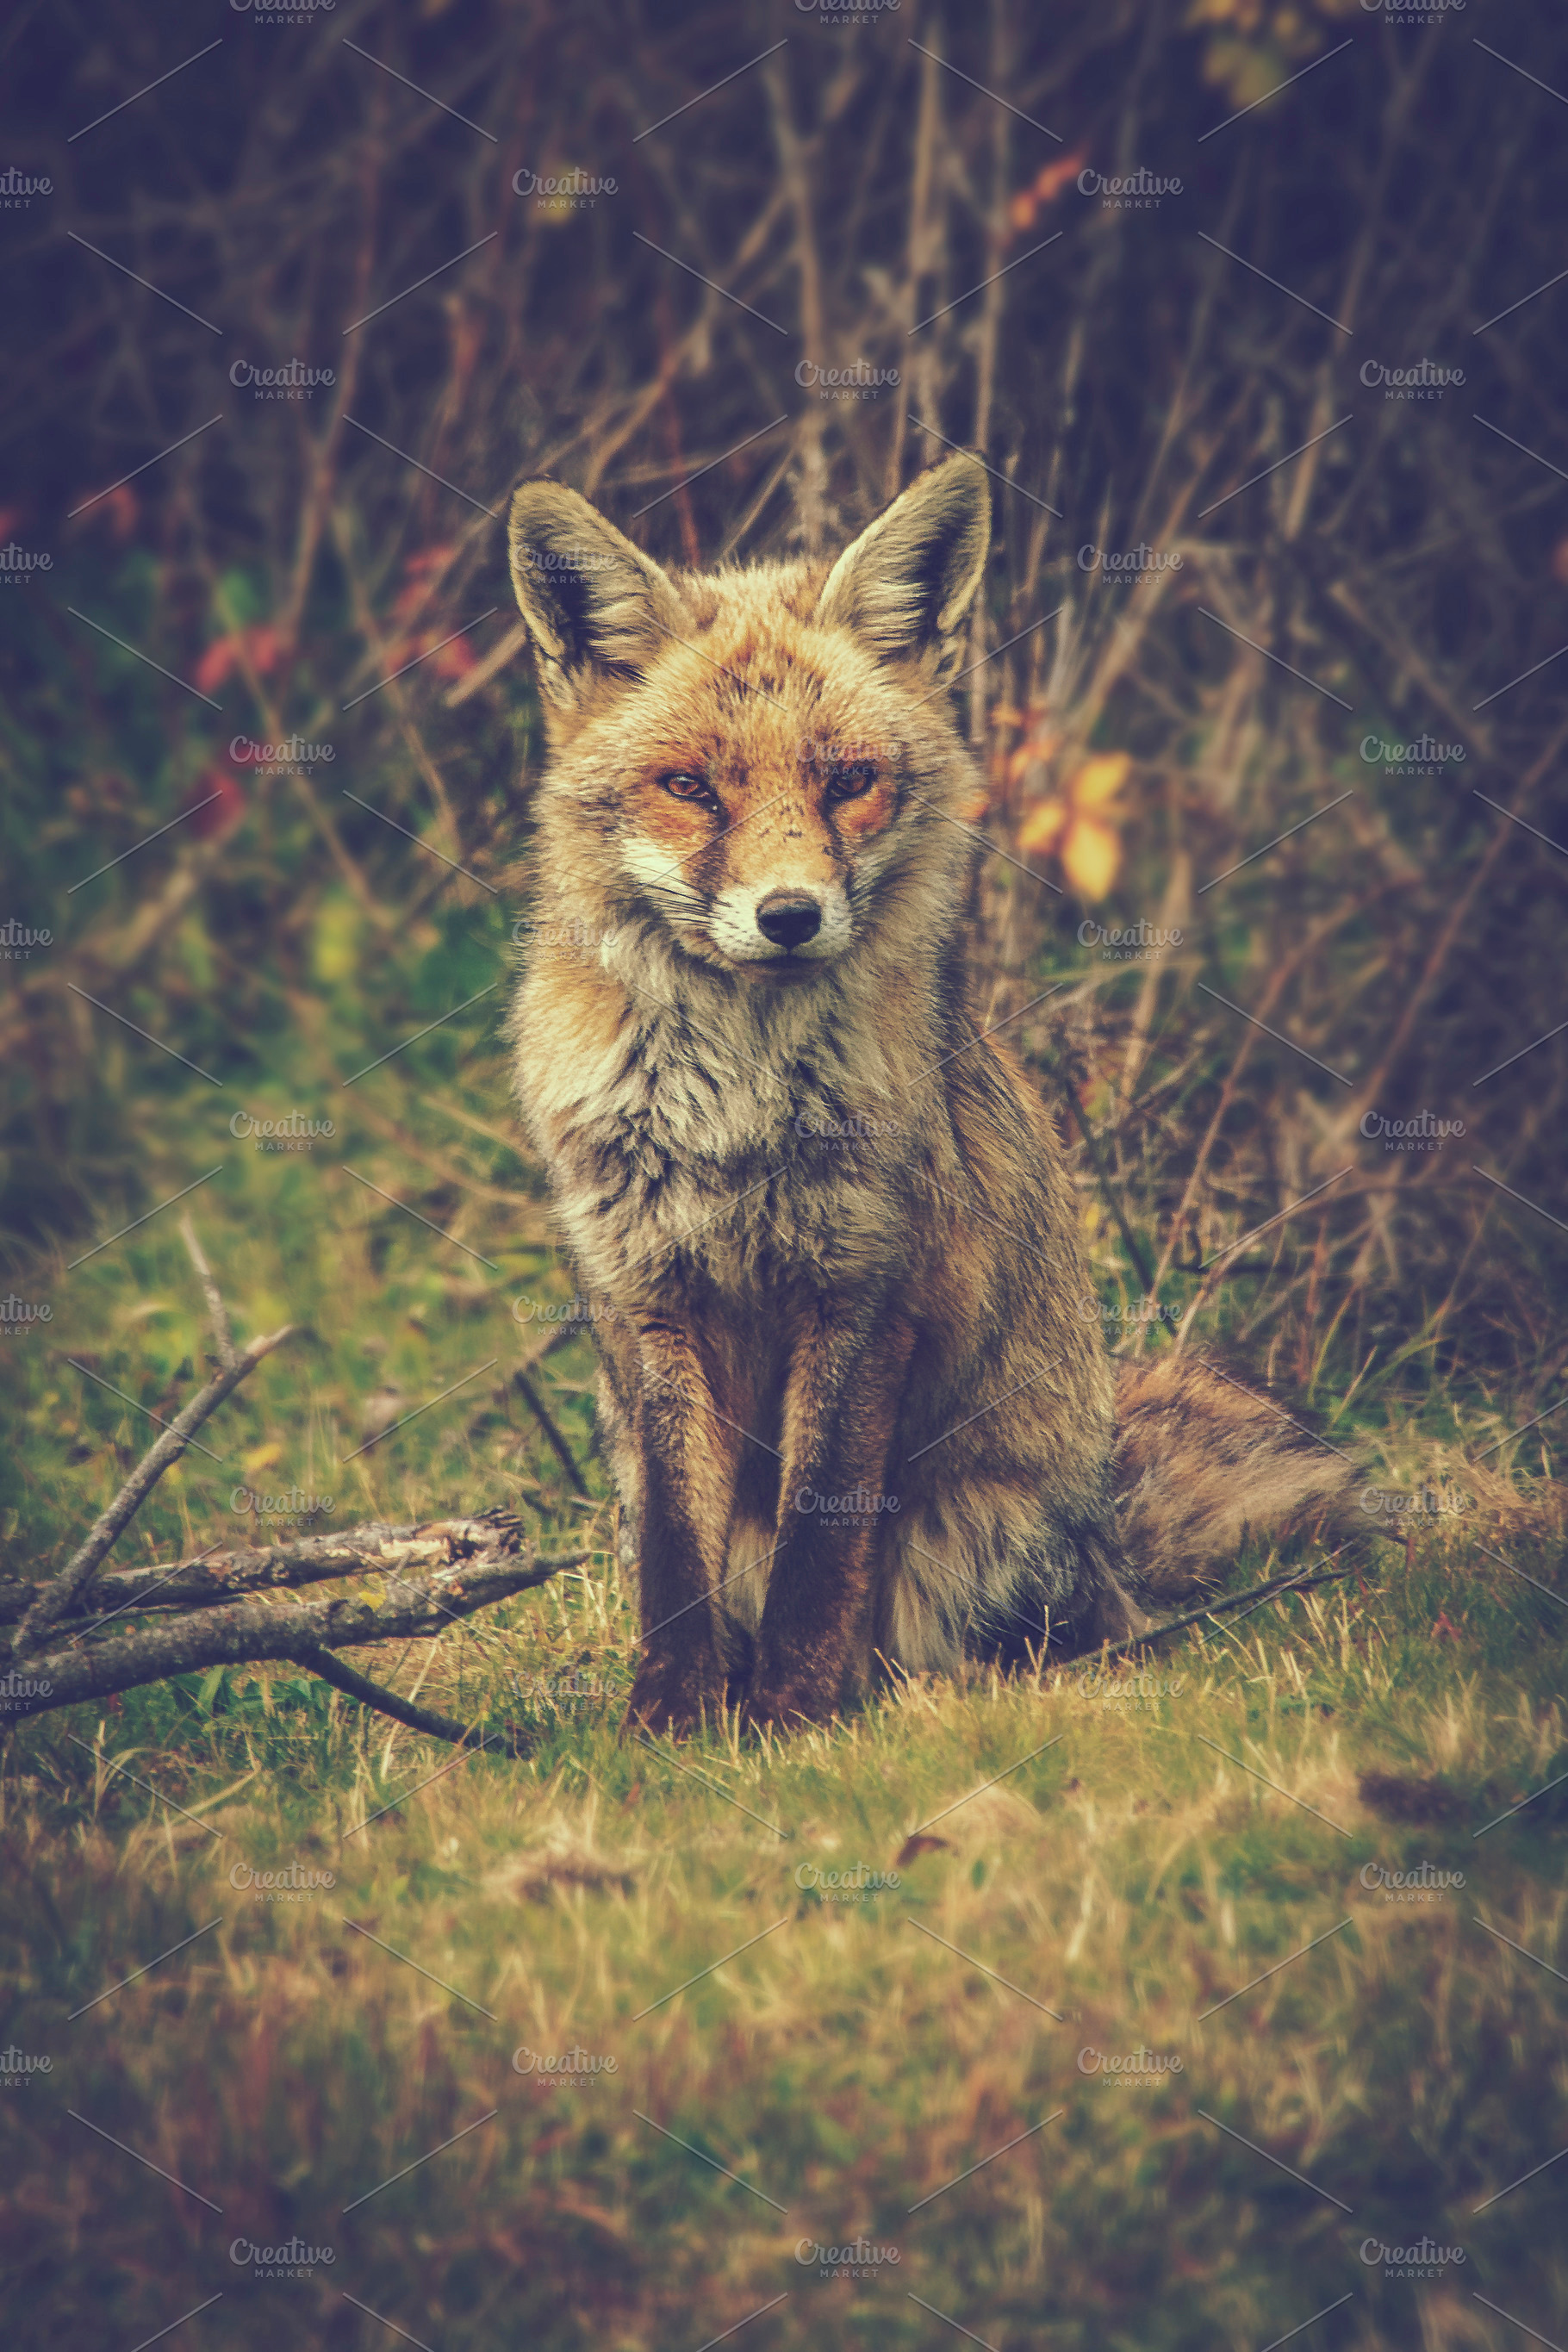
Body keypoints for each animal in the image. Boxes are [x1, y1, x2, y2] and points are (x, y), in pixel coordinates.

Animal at [503, 452, 1355, 1735]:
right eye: (690, 787)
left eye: (849, 781)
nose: (789, 915)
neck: (737, 1103)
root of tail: (1107, 1521)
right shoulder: (645, 1294)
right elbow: (673, 1555)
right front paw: (673, 1722)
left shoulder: (867, 1287)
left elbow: (822, 1539)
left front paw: (794, 1717)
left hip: (987, 1534)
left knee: (1030, 1634)